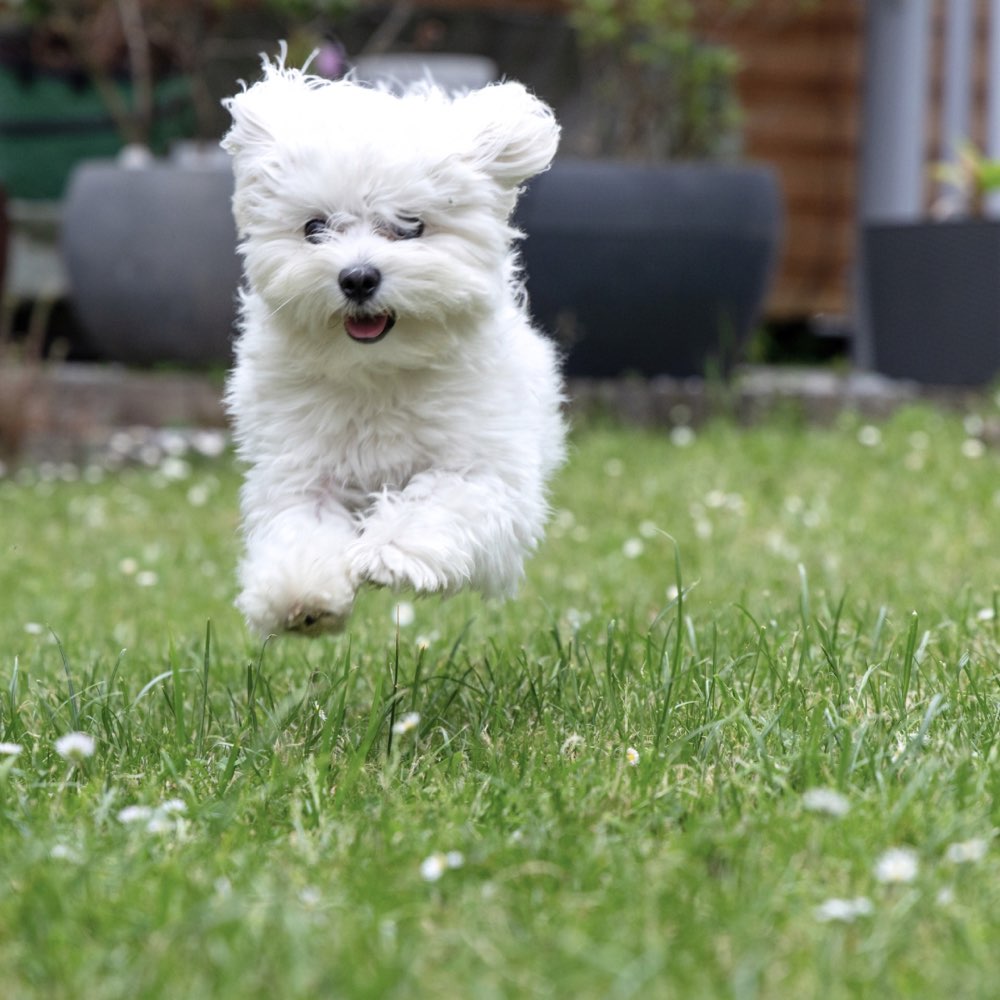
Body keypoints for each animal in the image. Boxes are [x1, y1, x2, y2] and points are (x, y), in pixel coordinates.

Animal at [223, 56, 568, 632]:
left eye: (410, 227)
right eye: (315, 227)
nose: (358, 277)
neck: (379, 370)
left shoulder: (487, 471)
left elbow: (445, 499)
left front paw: (393, 549)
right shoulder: (299, 468)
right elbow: (300, 522)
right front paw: (301, 592)